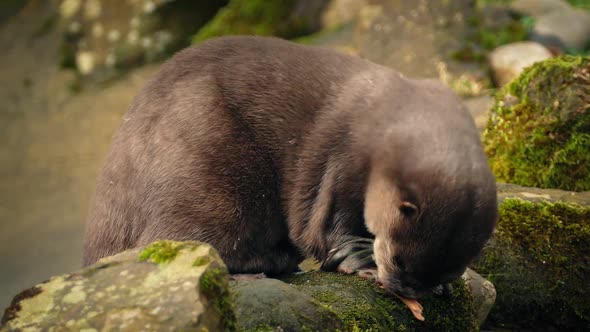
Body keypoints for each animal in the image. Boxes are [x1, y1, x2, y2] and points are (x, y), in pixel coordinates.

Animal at [83, 36, 500, 300]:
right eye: (397, 259)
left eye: (448, 269)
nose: (404, 289)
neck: (387, 115)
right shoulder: (343, 159)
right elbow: (321, 226)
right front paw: (359, 259)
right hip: (200, 170)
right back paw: (268, 265)